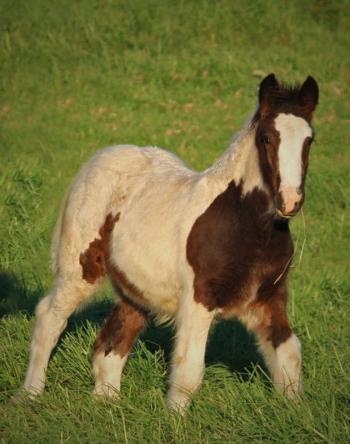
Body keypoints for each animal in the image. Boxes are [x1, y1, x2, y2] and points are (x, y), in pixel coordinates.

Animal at [20, 72, 318, 412]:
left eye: (309, 140)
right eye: (267, 137)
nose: (290, 201)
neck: (247, 226)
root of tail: (98, 159)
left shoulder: (269, 299)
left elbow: (289, 358)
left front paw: (297, 415)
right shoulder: (199, 300)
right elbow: (189, 369)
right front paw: (174, 419)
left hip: (136, 287)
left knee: (113, 341)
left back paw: (106, 403)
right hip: (79, 270)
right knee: (49, 318)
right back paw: (29, 394)